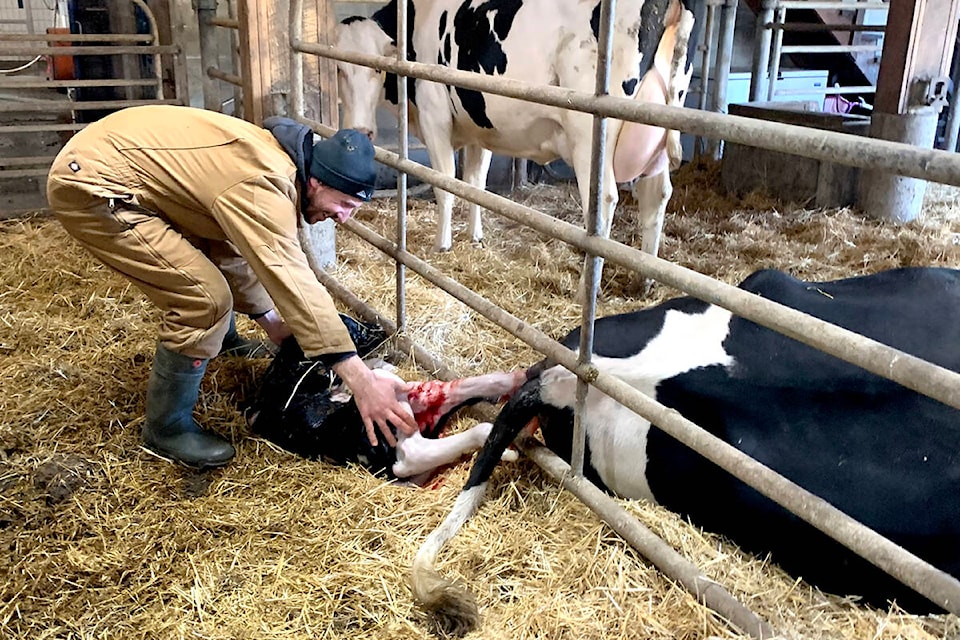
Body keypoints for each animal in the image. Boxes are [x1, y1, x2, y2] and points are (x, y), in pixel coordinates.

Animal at [334, 0, 692, 294]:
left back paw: (585, 290)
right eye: (339, 68)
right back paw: (643, 281)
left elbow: (445, 183)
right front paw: (475, 237)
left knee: (604, 201)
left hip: (590, 135)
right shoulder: (478, 128)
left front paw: (442, 246)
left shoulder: (435, 114)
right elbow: (475, 184)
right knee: (656, 196)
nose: (361, 129)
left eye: (378, 67)